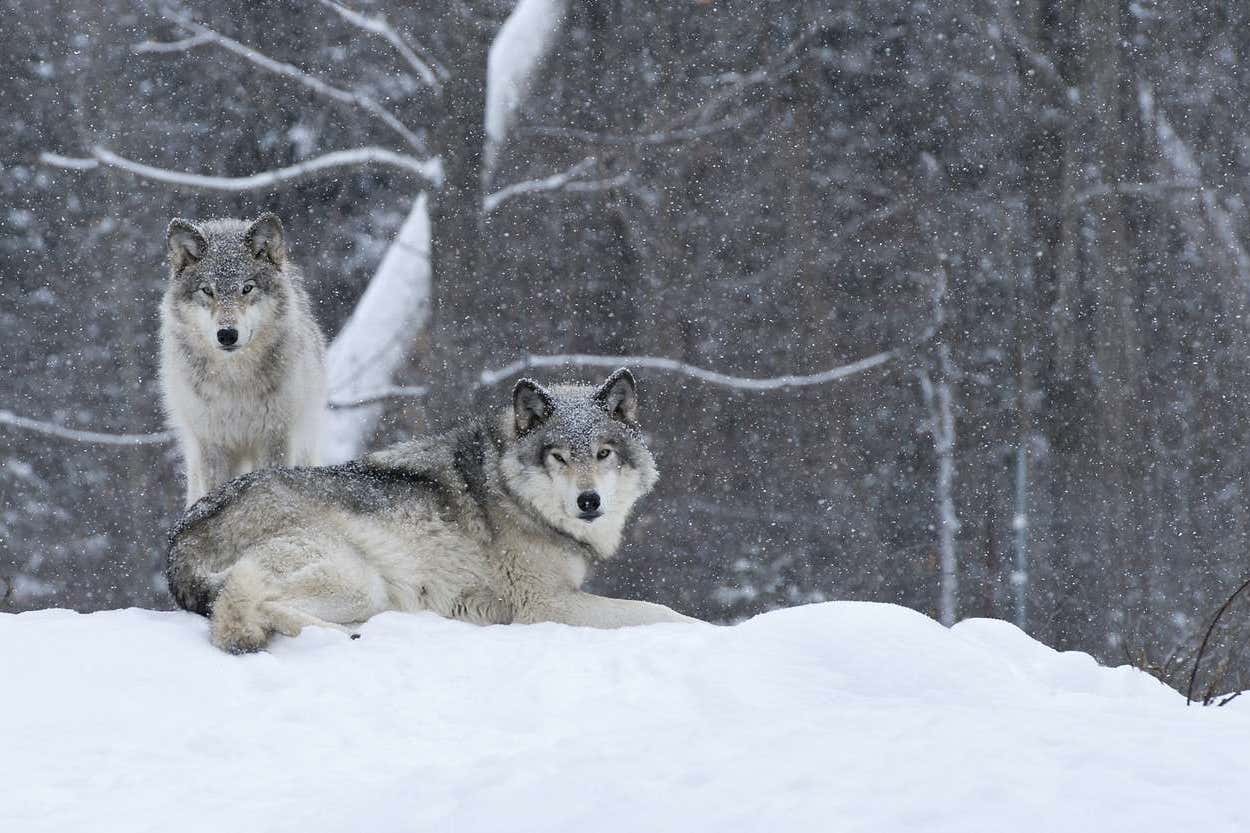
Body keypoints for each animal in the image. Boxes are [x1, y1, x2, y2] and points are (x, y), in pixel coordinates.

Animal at [160, 211, 327, 502]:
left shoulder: (276, 438)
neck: (235, 381)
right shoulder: (213, 445)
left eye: (247, 288)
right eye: (207, 290)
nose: (227, 334)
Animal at [163, 367, 705, 650]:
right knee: (245, 607)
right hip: (358, 581)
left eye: (603, 453)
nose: (588, 500)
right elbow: (659, 611)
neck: (513, 493)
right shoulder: (545, 605)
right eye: (559, 457)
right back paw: (346, 639)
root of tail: (177, 545)